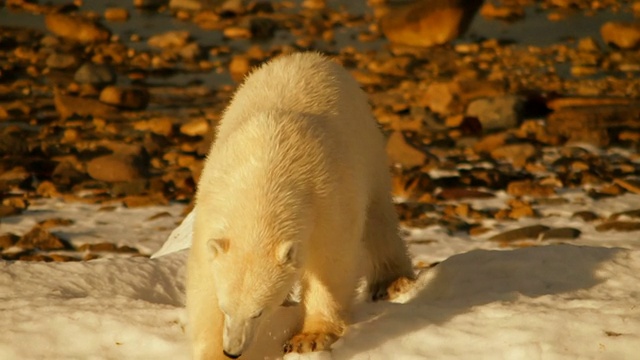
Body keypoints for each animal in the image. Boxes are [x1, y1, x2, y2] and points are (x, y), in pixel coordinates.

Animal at [188, 52, 412, 358]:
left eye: (259, 312)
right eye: (226, 308)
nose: (233, 350)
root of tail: (308, 57)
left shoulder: (328, 197)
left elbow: (332, 263)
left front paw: (309, 337)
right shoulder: (214, 203)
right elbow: (203, 279)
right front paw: (212, 350)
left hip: (368, 145)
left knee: (379, 218)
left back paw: (392, 281)